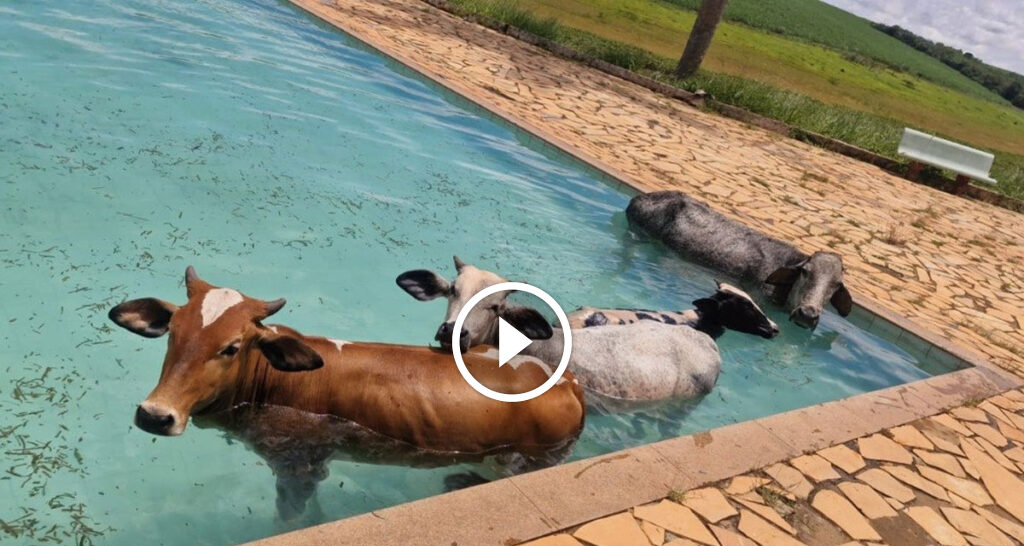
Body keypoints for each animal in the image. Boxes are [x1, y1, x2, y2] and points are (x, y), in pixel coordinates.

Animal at [108, 267, 584, 519]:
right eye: (173, 332)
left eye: (232, 347)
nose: (155, 415)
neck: (274, 379)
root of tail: (565, 380)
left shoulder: (300, 464)